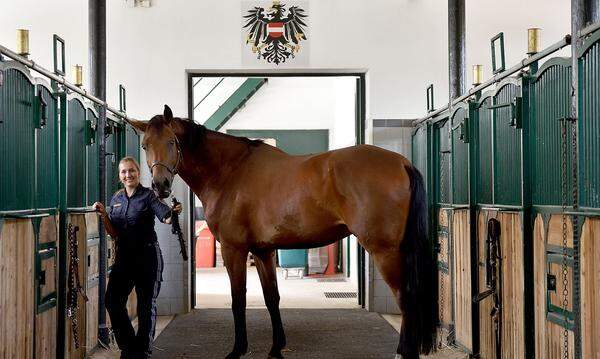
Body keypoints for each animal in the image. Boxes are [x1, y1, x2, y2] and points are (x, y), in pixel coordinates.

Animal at [130, 105, 436, 358]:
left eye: (172, 142)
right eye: (144, 145)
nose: (160, 186)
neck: (230, 172)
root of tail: (401, 163)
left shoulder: (234, 249)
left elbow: (238, 299)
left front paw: (238, 350)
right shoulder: (263, 251)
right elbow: (271, 298)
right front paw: (277, 347)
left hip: (386, 252)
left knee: (406, 299)